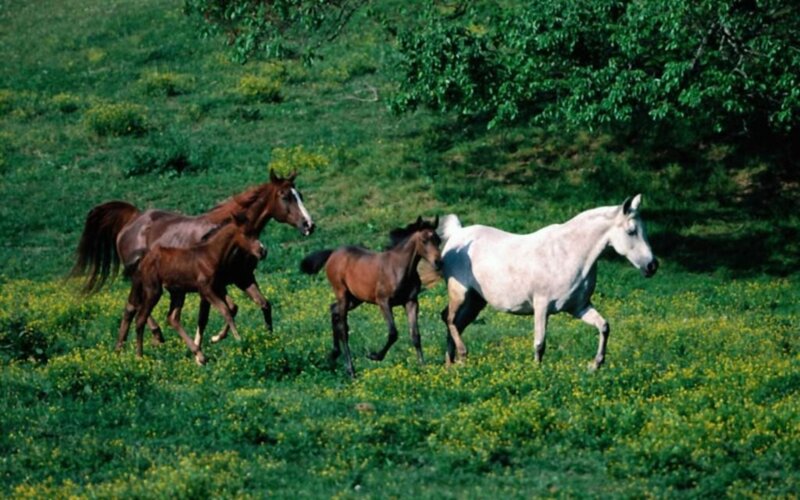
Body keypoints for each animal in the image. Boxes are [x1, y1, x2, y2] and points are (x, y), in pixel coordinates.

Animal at [71, 169, 315, 346]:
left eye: (300, 195)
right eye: (285, 196)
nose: (309, 225)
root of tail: (133, 218)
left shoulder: (242, 278)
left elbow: (261, 305)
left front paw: (265, 338)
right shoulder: (211, 285)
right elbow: (210, 315)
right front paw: (204, 343)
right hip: (142, 278)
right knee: (137, 305)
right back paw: (156, 335)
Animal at [127, 213, 267, 364]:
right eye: (246, 233)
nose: (263, 251)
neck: (210, 255)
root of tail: (143, 260)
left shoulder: (218, 287)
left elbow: (231, 308)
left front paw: (216, 338)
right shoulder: (206, 289)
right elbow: (225, 310)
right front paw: (239, 340)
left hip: (178, 292)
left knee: (172, 318)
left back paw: (199, 354)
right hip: (153, 290)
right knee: (141, 319)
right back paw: (139, 357)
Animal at [300, 216, 443, 377]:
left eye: (438, 240)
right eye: (424, 240)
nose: (438, 262)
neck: (399, 268)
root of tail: (333, 253)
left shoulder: (411, 302)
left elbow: (416, 335)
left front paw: (423, 367)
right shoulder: (383, 302)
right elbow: (393, 333)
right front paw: (374, 356)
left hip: (355, 299)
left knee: (333, 309)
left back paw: (334, 354)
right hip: (342, 293)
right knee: (343, 327)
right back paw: (351, 370)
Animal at [438, 194, 658, 370]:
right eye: (631, 231)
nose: (652, 266)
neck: (568, 253)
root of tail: (457, 235)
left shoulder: (579, 307)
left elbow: (604, 326)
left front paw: (595, 365)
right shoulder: (541, 306)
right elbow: (539, 343)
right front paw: (538, 371)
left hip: (476, 301)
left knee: (455, 323)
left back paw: (452, 364)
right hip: (460, 293)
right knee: (449, 319)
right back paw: (462, 355)